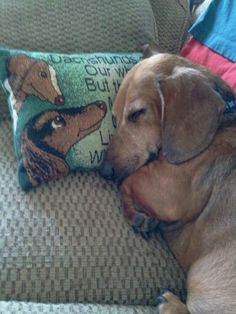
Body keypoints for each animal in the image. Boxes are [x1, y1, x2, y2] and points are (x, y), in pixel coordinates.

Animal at [100, 49, 236, 314]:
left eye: (136, 114)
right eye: (114, 118)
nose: (104, 170)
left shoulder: (167, 191)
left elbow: (127, 181)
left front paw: (136, 215)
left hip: (203, 277)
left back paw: (168, 302)